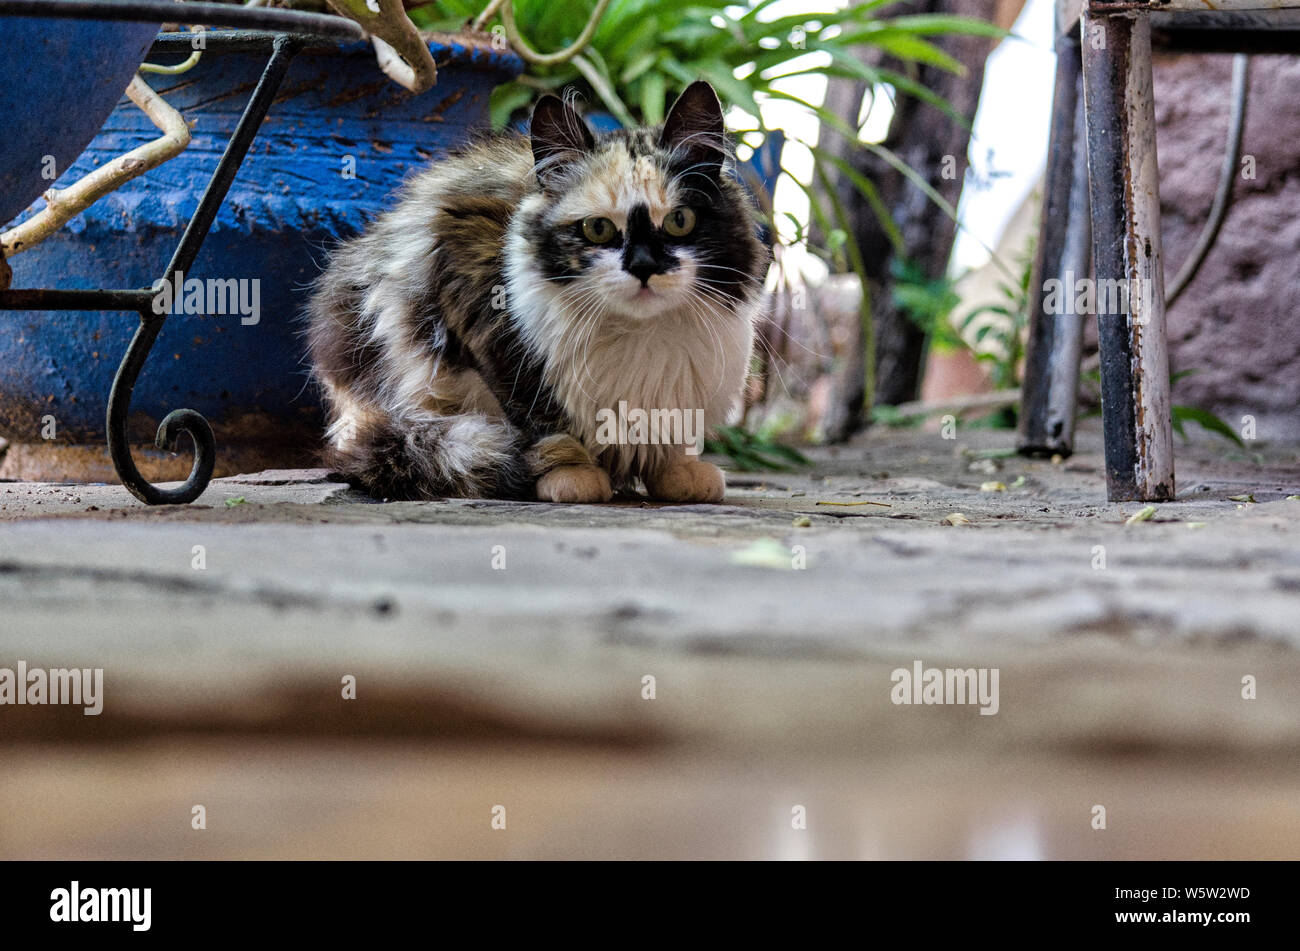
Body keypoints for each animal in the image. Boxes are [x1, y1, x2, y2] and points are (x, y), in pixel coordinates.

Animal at [305, 79, 764, 504]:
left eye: (679, 221)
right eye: (598, 229)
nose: (643, 267)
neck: (640, 333)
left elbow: (672, 430)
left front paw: (675, 470)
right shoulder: (473, 288)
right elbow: (538, 414)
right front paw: (571, 473)